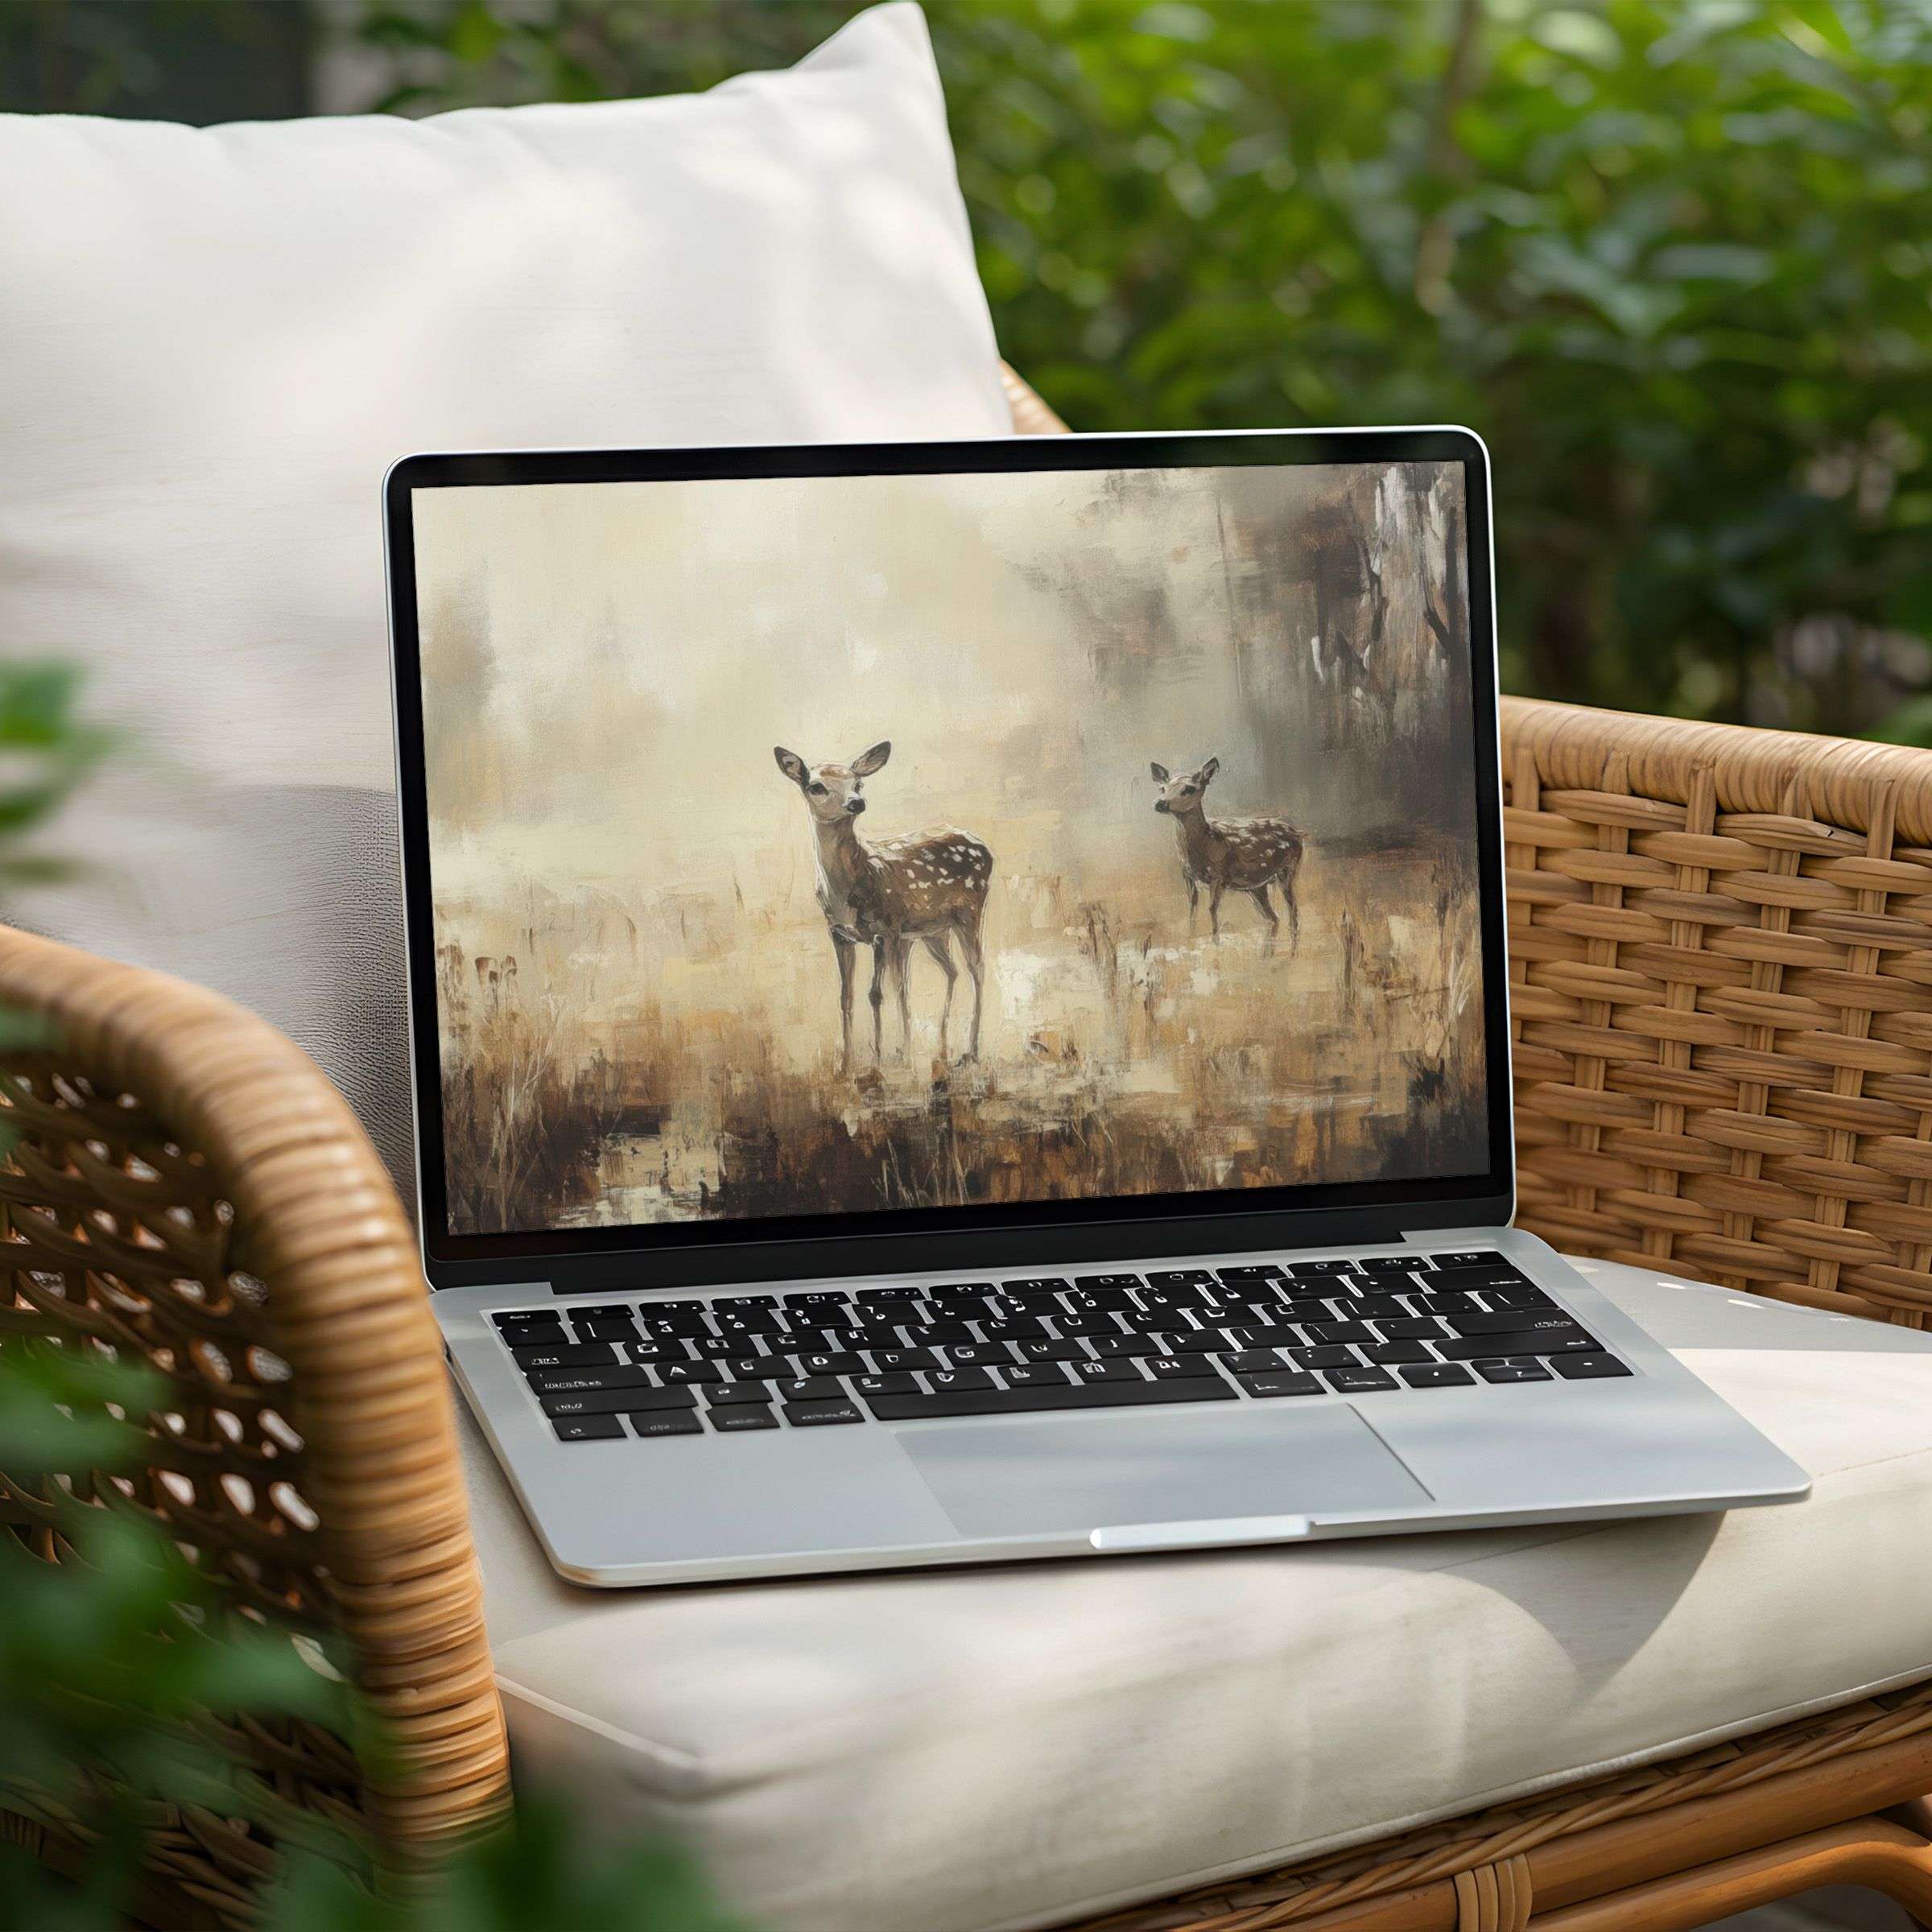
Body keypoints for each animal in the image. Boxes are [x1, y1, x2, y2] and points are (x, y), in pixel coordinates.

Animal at [773, 741, 993, 1070]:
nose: (856, 803)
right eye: (816, 786)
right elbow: (847, 996)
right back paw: (940, 1043)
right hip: (931, 931)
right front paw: (849, 1061)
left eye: (858, 783)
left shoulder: (884, 929)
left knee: (976, 967)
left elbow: (878, 993)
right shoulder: (840, 933)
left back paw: (971, 1051)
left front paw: (883, 1059)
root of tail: (985, 848)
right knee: (950, 970)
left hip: (971, 910)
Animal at [1151, 757, 1303, 949]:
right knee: (1274, 918)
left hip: (1288, 869)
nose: (1160, 803)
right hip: (1257, 886)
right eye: (1162, 789)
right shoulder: (1187, 875)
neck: (1204, 844)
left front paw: (1216, 944)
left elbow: (1212, 908)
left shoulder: (1218, 875)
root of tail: (1299, 833)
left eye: (1189, 788)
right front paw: (1191, 937)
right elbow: (1192, 907)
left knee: (1293, 911)